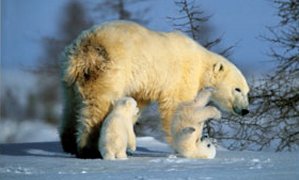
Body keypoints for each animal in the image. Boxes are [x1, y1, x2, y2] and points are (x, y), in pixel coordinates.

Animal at [61, 20, 251, 158]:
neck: (201, 61)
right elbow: (178, 109)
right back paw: (89, 149)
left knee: (71, 105)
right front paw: (191, 148)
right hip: (109, 70)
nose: (245, 110)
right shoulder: (182, 75)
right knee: (98, 107)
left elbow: (139, 102)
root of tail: (85, 50)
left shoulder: (144, 86)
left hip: (72, 75)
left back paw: (68, 143)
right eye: (237, 89)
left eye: (247, 91)